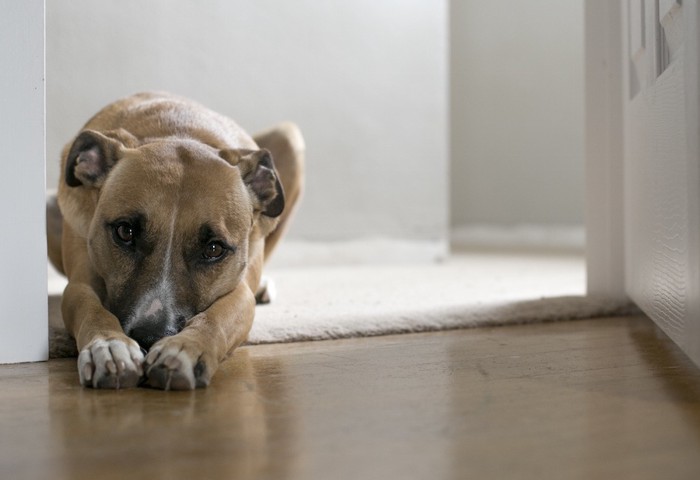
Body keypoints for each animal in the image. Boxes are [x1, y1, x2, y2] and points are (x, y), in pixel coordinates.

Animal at [46, 91, 304, 390]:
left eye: (214, 249)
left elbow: (218, 316)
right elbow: (89, 305)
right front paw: (109, 347)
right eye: (125, 232)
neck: (179, 132)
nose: (149, 338)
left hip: (290, 137)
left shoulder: (239, 291)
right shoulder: (80, 282)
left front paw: (185, 348)